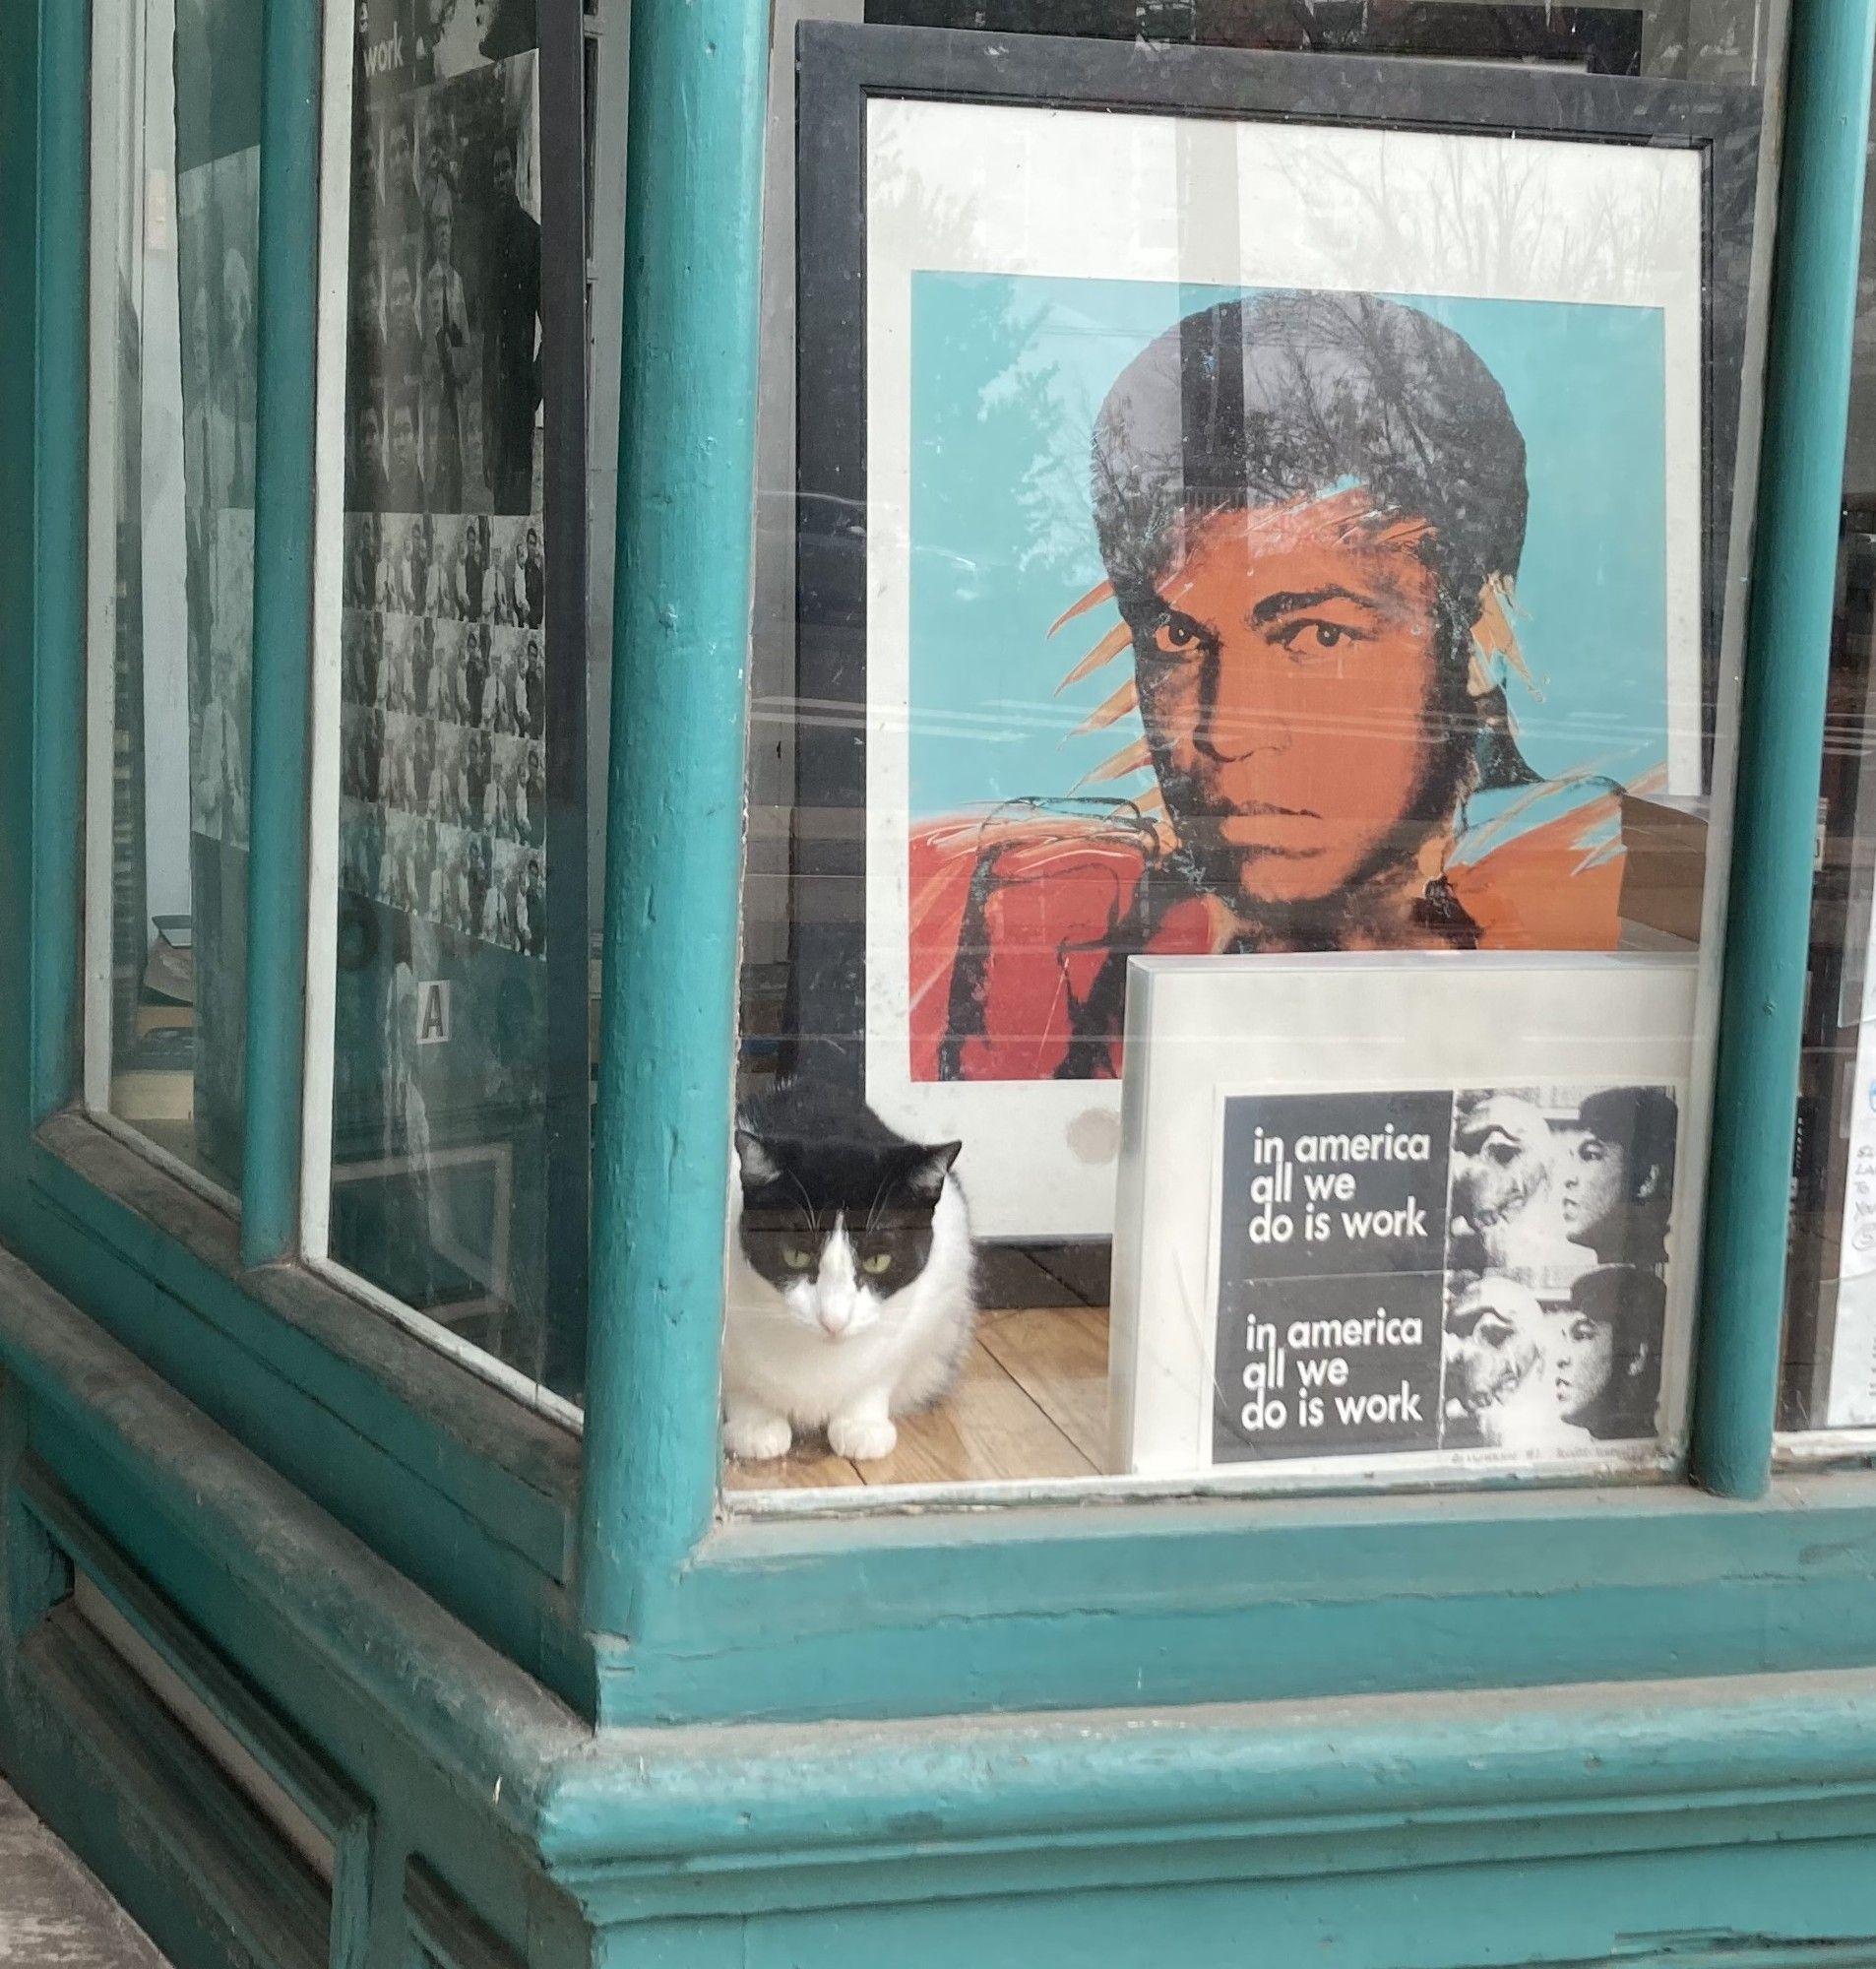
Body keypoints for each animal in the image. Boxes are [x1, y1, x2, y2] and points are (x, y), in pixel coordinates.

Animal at [720, 1079, 972, 1465]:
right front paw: (755, 1424)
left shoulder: (935, 1295)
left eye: (877, 1260)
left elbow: (881, 1372)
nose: (833, 1321)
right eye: (796, 1255)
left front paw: (861, 1424)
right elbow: (735, 1377)